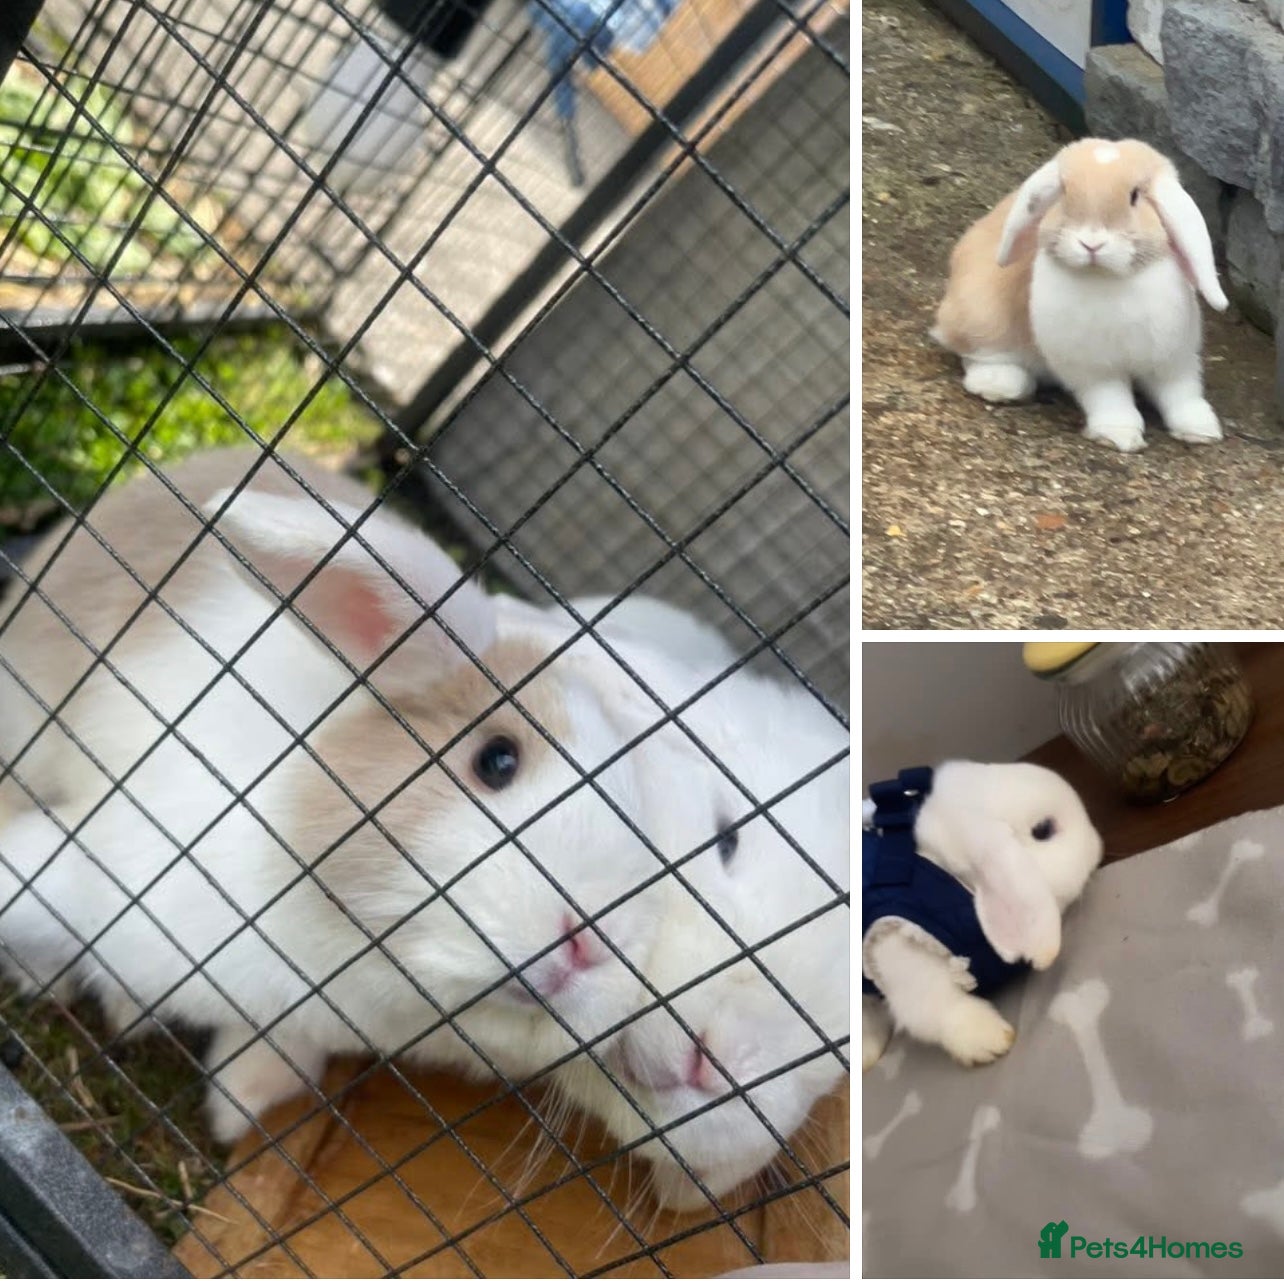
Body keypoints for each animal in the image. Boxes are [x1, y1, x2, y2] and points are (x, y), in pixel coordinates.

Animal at [932, 137, 1228, 452]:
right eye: (1063, 192)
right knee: (974, 353)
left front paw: (1201, 430)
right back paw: (1000, 385)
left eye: (1134, 196)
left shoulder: (1173, 358)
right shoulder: (1093, 367)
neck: (1108, 277)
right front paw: (1119, 435)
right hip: (982, 316)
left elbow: (1181, 393)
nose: (1091, 244)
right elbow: (1110, 398)